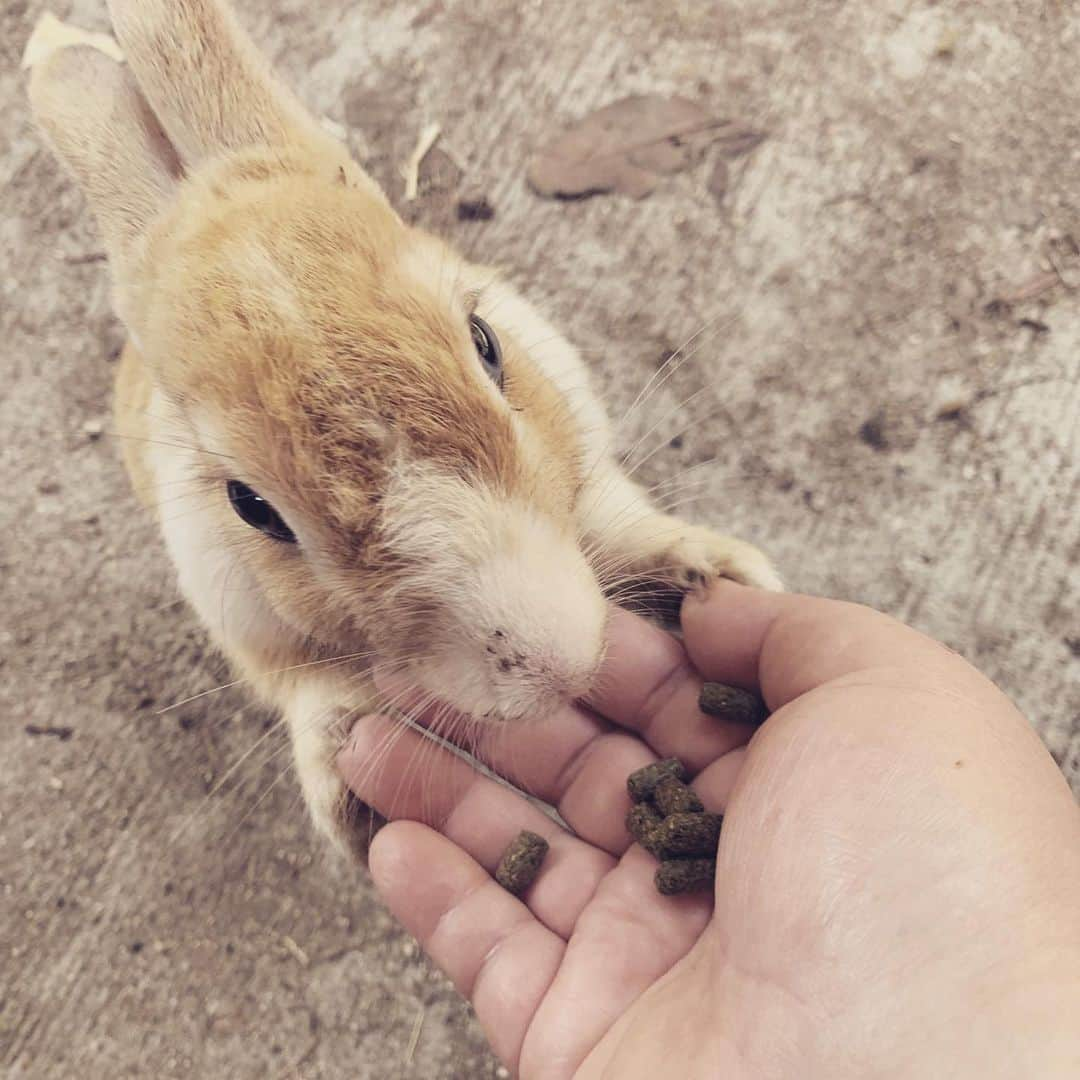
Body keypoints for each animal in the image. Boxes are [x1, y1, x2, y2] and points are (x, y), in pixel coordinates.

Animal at [29, 0, 781, 859]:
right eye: (251, 507)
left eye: (485, 342)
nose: (556, 667)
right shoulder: (250, 627)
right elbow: (309, 693)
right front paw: (353, 808)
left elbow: (619, 519)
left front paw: (722, 577)